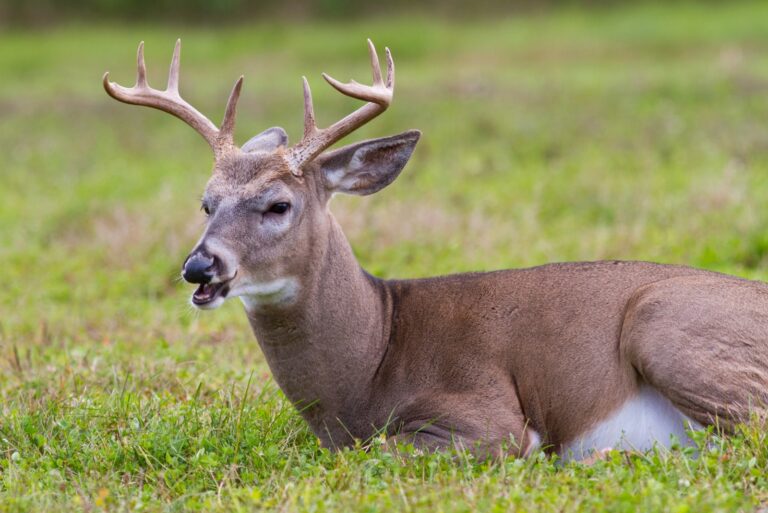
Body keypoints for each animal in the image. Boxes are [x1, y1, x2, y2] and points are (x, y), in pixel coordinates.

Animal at [103, 39, 768, 461]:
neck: (372, 364)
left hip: (664, 323)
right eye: (206, 203)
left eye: (278, 205)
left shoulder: (488, 416)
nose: (199, 267)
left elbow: (380, 454)